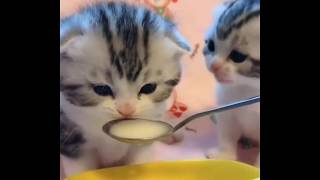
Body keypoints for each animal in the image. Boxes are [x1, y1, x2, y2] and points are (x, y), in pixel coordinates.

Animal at [60, 1, 190, 176]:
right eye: (101, 89)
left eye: (149, 88)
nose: (126, 110)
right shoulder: (70, 136)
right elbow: (80, 169)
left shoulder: (144, 137)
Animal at [204, 0, 258, 167]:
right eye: (211, 46)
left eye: (238, 56)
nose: (214, 65)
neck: (249, 88)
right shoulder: (227, 109)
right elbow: (227, 133)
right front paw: (224, 156)